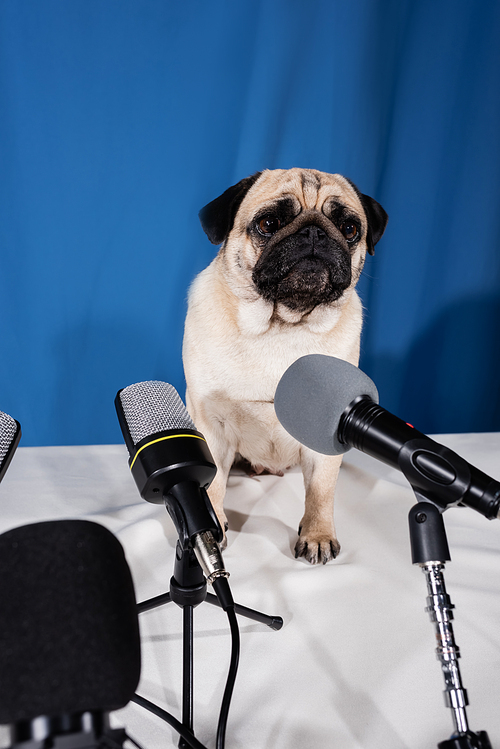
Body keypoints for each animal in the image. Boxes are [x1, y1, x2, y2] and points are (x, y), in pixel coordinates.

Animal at [182, 169, 388, 564]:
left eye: (349, 228)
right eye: (268, 224)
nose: (314, 233)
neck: (282, 325)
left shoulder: (329, 427)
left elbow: (321, 490)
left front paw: (318, 535)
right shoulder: (211, 423)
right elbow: (212, 483)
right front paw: (210, 531)